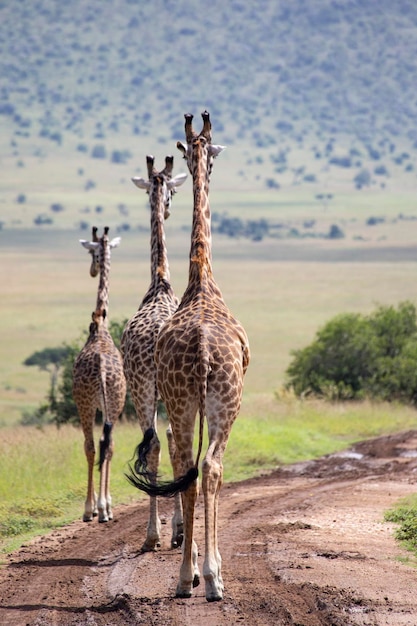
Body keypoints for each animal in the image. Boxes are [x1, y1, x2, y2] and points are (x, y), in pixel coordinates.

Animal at [126, 112, 250, 600]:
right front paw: (208, 569)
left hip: (176, 400)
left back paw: (183, 575)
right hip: (221, 402)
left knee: (182, 462)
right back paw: (210, 576)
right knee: (209, 466)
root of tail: (199, 346)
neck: (200, 279)